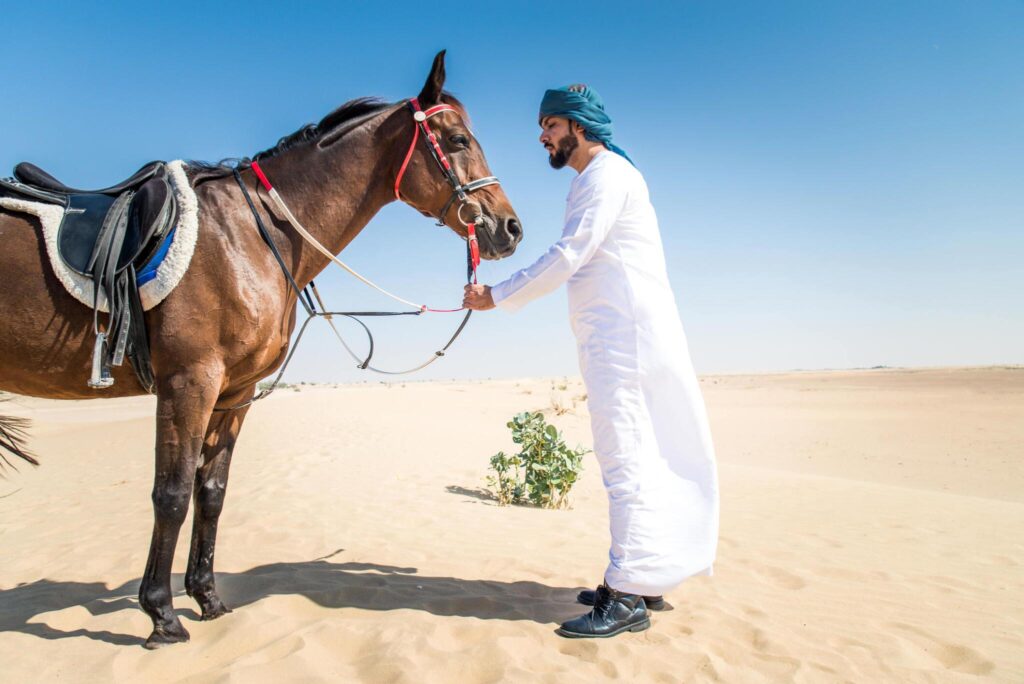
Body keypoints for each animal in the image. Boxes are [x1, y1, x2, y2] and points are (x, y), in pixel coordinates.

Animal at [0, 49, 524, 647]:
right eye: (458, 139)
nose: (511, 228)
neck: (248, 235)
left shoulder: (235, 391)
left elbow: (211, 491)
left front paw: (206, 598)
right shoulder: (190, 382)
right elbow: (171, 494)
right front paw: (161, 614)